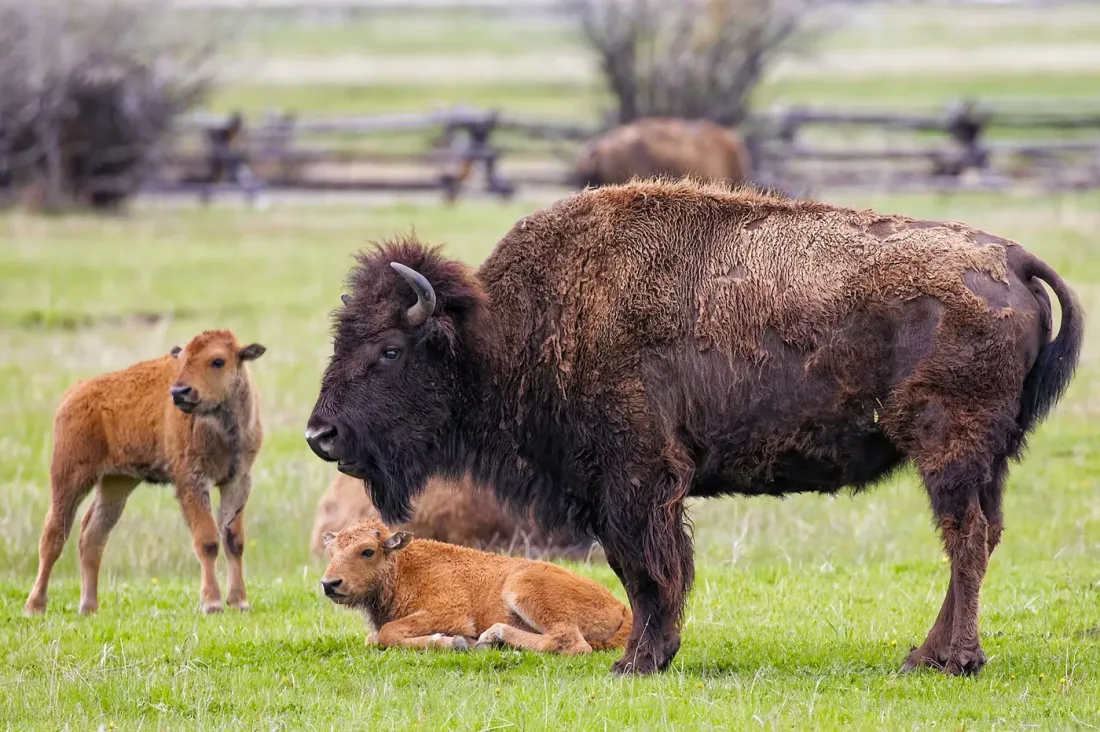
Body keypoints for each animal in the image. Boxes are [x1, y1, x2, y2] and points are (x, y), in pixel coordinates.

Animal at [305, 180, 1081, 676]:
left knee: (965, 538)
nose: (321, 436)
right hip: (986, 460)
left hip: (949, 449)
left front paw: (639, 662)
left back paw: (951, 660)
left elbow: (649, 569)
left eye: (390, 349)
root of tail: (1010, 257)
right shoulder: (623, 491)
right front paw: (652, 654)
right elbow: (648, 570)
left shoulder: (636, 482)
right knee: (980, 535)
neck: (508, 324)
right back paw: (925, 655)